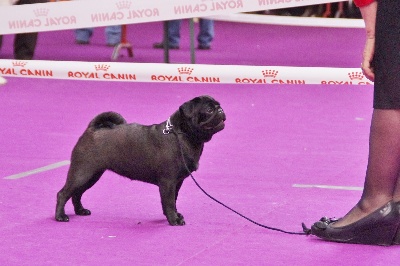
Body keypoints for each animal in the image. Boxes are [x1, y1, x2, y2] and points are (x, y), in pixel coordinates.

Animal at [55, 94, 227, 225]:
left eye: (218, 106)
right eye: (209, 110)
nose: (220, 109)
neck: (181, 134)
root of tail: (92, 129)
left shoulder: (177, 182)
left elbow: (173, 200)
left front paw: (175, 216)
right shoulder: (168, 181)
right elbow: (169, 202)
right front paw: (173, 220)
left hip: (92, 175)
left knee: (77, 193)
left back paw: (80, 211)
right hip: (82, 173)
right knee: (63, 193)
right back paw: (60, 216)